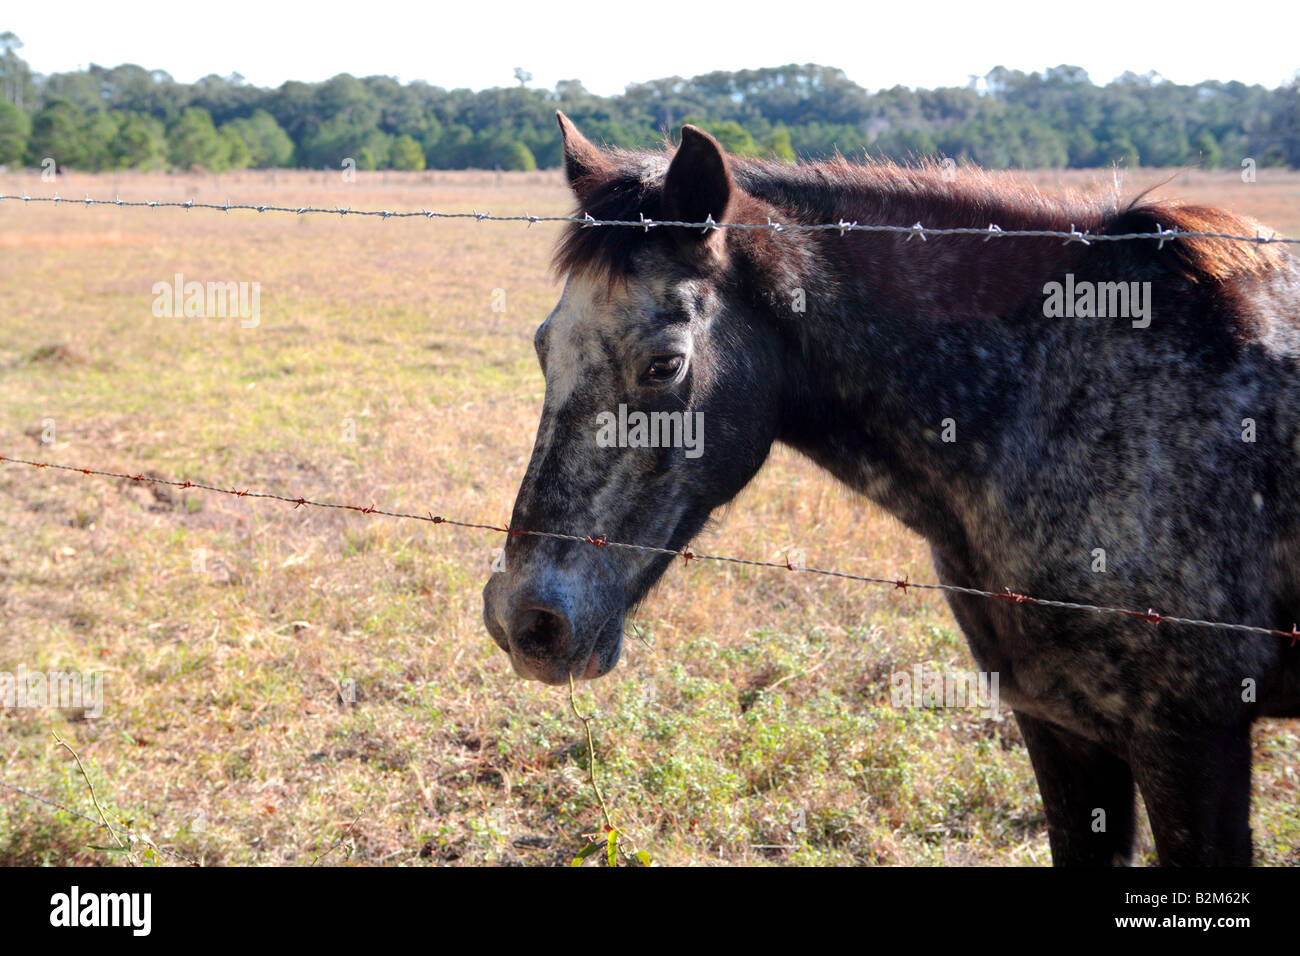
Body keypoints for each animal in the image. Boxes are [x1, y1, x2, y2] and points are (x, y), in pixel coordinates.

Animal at [482, 111, 1300, 865]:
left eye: (664, 363)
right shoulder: (1059, 726)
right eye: (542, 346)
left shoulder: (1189, 742)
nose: (526, 622)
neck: (1059, 397)